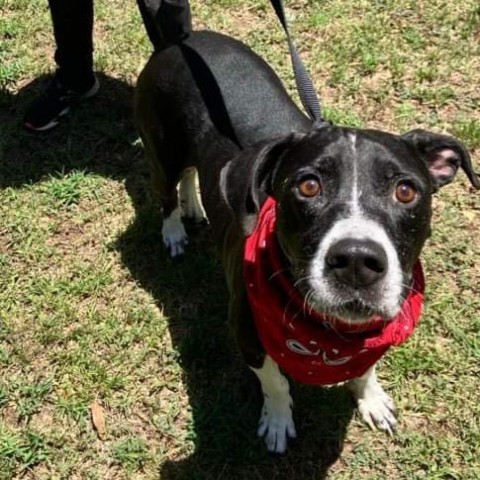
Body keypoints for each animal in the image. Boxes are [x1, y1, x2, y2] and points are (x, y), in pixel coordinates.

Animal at [135, 27, 480, 454]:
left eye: (405, 191)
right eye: (308, 185)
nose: (356, 261)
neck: (330, 336)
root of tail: (179, 40)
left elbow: (365, 368)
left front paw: (371, 398)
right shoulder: (247, 334)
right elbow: (276, 382)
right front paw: (278, 422)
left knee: (190, 173)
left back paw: (194, 206)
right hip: (160, 147)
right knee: (166, 189)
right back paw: (174, 232)